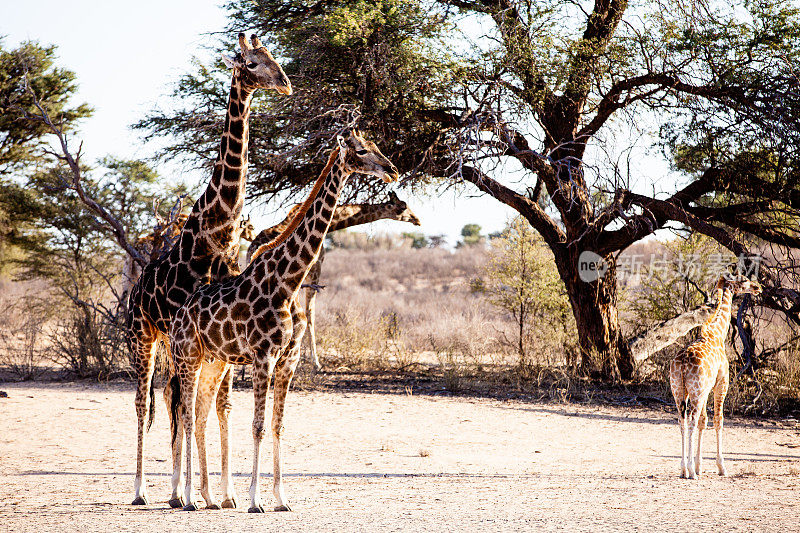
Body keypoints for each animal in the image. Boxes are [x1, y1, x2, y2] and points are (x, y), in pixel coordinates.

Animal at [123, 33, 290, 508]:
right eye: (251, 63)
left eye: (273, 57)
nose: (286, 84)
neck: (218, 230)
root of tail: (134, 293)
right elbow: (187, 406)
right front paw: (190, 493)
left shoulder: (225, 334)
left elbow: (220, 406)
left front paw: (225, 493)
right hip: (144, 338)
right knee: (145, 401)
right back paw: (144, 489)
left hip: (174, 342)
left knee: (171, 396)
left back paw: (178, 488)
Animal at [168, 130, 396, 512]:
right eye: (363, 150)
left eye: (378, 146)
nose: (392, 170)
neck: (288, 281)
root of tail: (179, 315)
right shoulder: (263, 357)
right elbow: (258, 425)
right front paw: (255, 500)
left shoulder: (288, 359)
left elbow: (278, 425)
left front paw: (281, 498)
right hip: (188, 357)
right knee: (185, 414)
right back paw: (186, 498)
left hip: (214, 361)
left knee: (199, 416)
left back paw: (209, 498)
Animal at [248, 193, 424, 368]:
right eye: (403, 207)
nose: (417, 220)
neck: (332, 224)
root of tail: (253, 247)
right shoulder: (314, 270)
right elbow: (310, 314)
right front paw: (315, 361)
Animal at [668, 270, 764, 478]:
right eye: (744, 279)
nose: (758, 287)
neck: (717, 333)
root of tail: (682, 364)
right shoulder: (721, 383)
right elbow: (718, 420)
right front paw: (720, 467)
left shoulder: (706, 390)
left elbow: (704, 421)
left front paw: (699, 465)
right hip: (695, 392)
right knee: (691, 421)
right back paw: (690, 472)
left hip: (679, 390)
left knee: (682, 421)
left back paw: (683, 469)